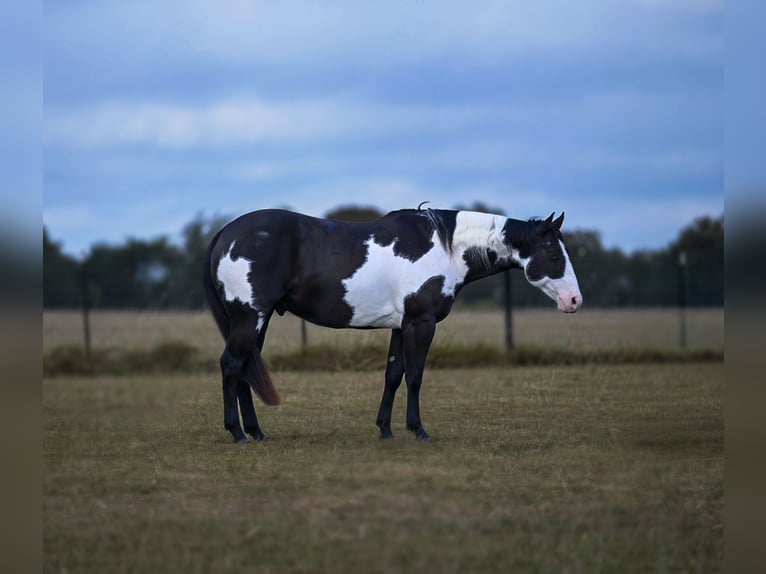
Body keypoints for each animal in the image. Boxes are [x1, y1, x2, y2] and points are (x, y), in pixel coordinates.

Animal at [203, 207, 582, 443]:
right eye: (552, 254)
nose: (574, 301)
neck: (444, 249)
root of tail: (226, 232)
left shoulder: (401, 326)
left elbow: (393, 374)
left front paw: (385, 429)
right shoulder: (421, 323)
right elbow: (415, 376)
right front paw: (419, 430)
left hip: (257, 320)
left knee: (244, 370)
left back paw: (256, 432)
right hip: (250, 318)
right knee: (231, 364)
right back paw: (238, 433)